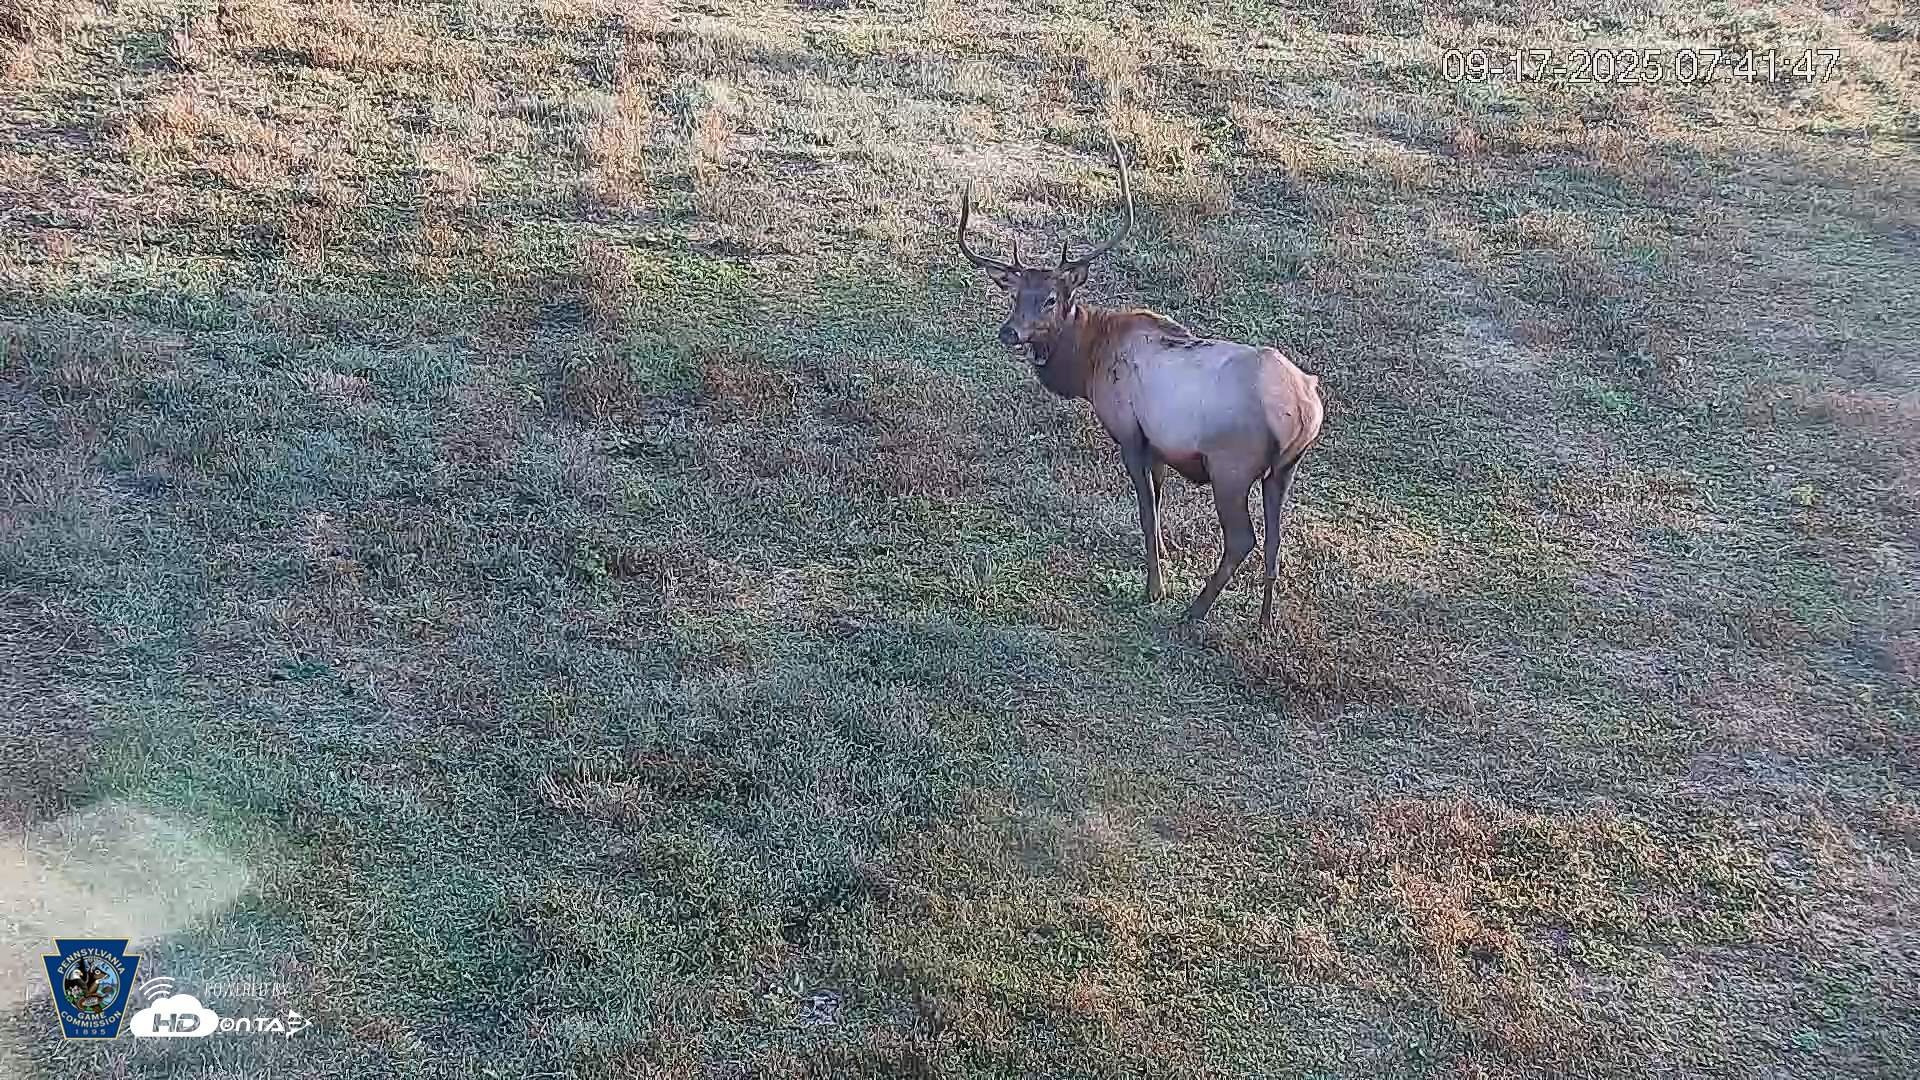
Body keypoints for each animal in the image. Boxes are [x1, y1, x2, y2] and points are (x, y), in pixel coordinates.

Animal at [956, 135, 1325, 633]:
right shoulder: (1161, 442)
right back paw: (1264, 623)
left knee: (1242, 539)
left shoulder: (1129, 430)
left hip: (1232, 466)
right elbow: (1160, 496)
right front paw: (1165, 555)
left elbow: (1146, 507)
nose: (1009, 332)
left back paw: (1193, 612)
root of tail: (1305, 411)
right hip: (1284, 469)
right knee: (1274, 540)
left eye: (1051, 299)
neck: (1089, 362)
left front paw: (1155, 586)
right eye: (1015, 295)